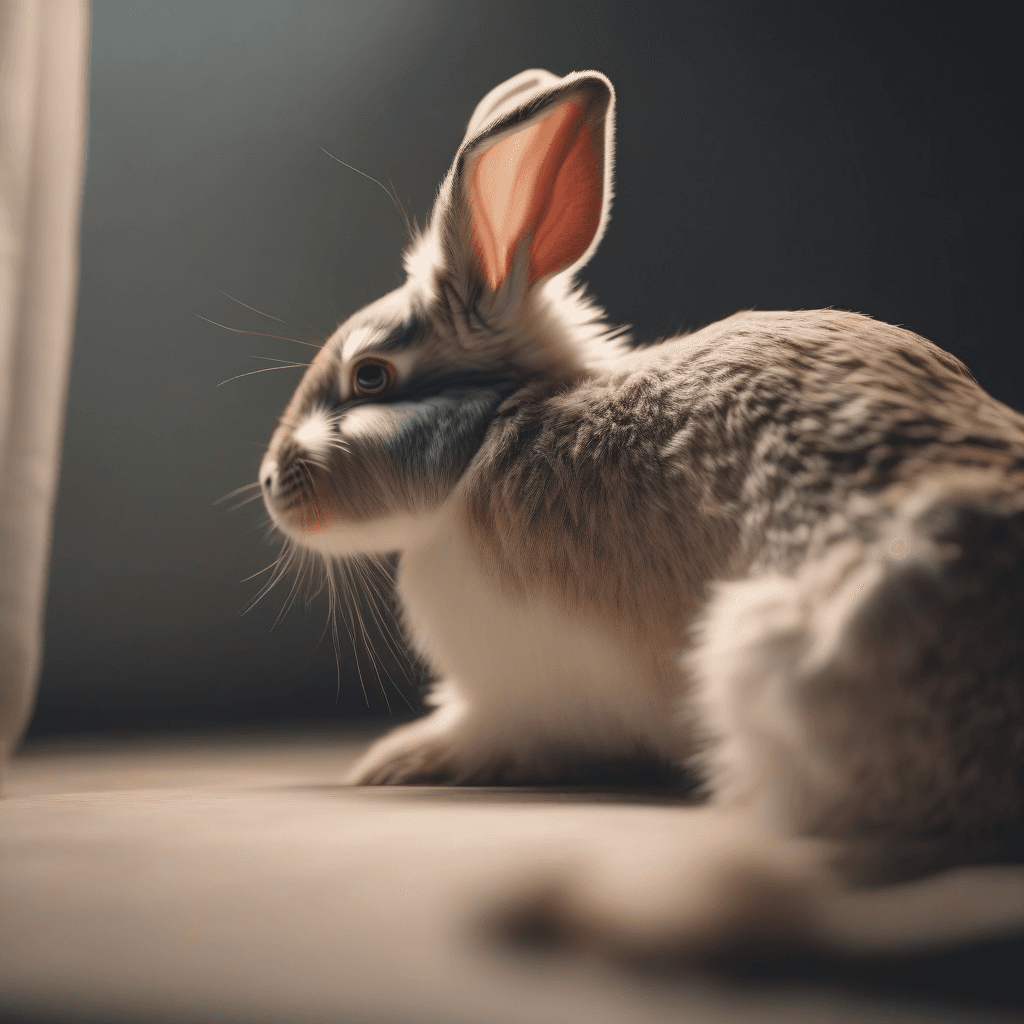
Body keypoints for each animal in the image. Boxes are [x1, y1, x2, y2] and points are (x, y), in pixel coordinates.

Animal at [258, 68, 1024, 961]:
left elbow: (489, 732)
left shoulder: (516, 699)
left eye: (372, 376)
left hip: (761, 656)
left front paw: (399, 759)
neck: (491, 429)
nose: (269, 482)